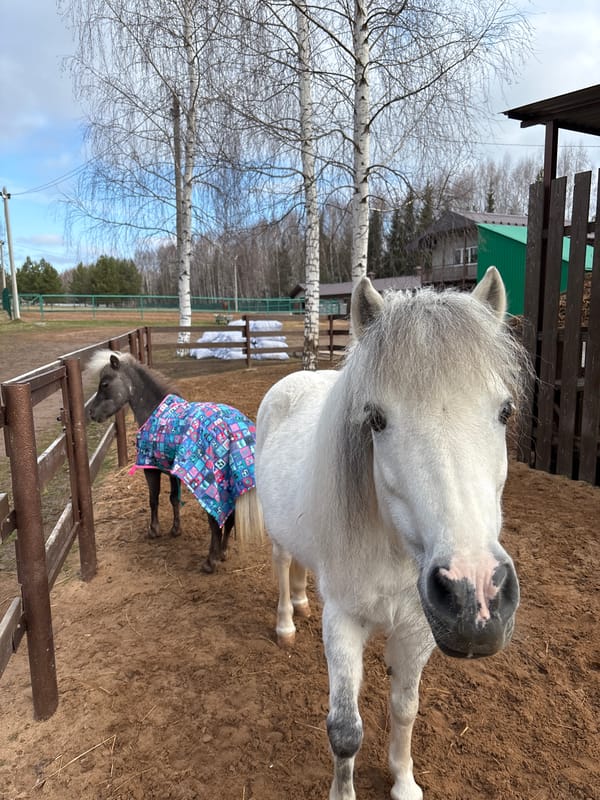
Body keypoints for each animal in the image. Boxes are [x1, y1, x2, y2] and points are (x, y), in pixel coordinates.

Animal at [87, 351, 263, 574]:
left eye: (105, 384)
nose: (92, 413)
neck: (155, 410)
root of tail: (233, 429)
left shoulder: (151, 468)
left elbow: (153, 499)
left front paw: (154, 530)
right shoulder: (172, 471)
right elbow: (173, 498)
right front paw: (175, 529)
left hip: (212, 486)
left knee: (216, 520)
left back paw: (210, 561)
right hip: (231, 484)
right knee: (229, 518)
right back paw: (223, 552)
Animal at [255, 267, 530, 800]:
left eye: (505, 411)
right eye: (377, 419)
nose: (476, 597)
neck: (394, 552)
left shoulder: (417, 629)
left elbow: (405, 709)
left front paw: (403, 782)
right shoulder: (343, 620)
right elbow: (345, 730)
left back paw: (300, 600)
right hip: (277, 539)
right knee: (281, 565)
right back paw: (286, 623)